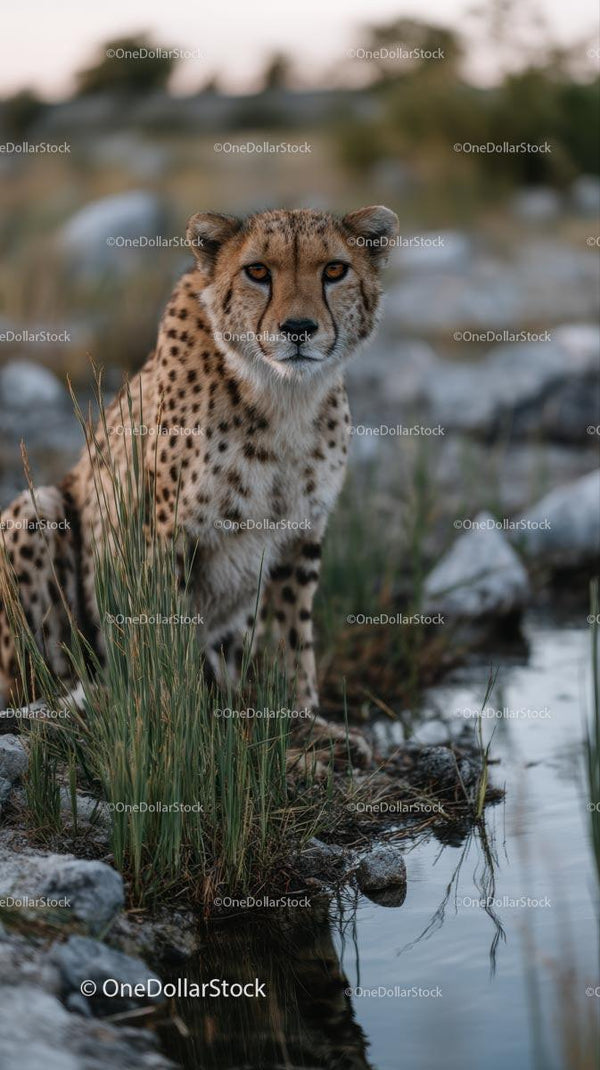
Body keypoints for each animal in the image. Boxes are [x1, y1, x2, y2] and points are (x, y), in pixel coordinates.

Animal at [0, 205, 398, 761]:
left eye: (335, 270)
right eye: (258, 271)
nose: (298, 328)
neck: (282, 397)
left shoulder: (298, 535)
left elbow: (292, 637)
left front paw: (303, 722)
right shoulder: (165, 537)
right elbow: (165, 637)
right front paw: (178, 724)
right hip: (38, 509)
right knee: (37, 678)